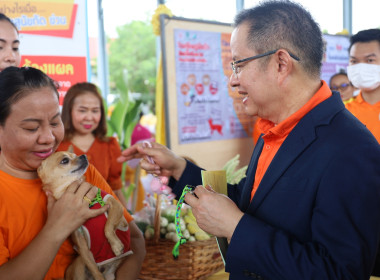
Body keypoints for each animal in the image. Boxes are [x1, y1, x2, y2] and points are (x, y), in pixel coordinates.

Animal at [37, 151, 132, 280]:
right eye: (64, 160)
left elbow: (108, 226)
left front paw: (116, 245)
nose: (83, 155)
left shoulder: (116, 206)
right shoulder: (81, 244)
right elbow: (95, 271)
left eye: (74, 154)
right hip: (80, 266)